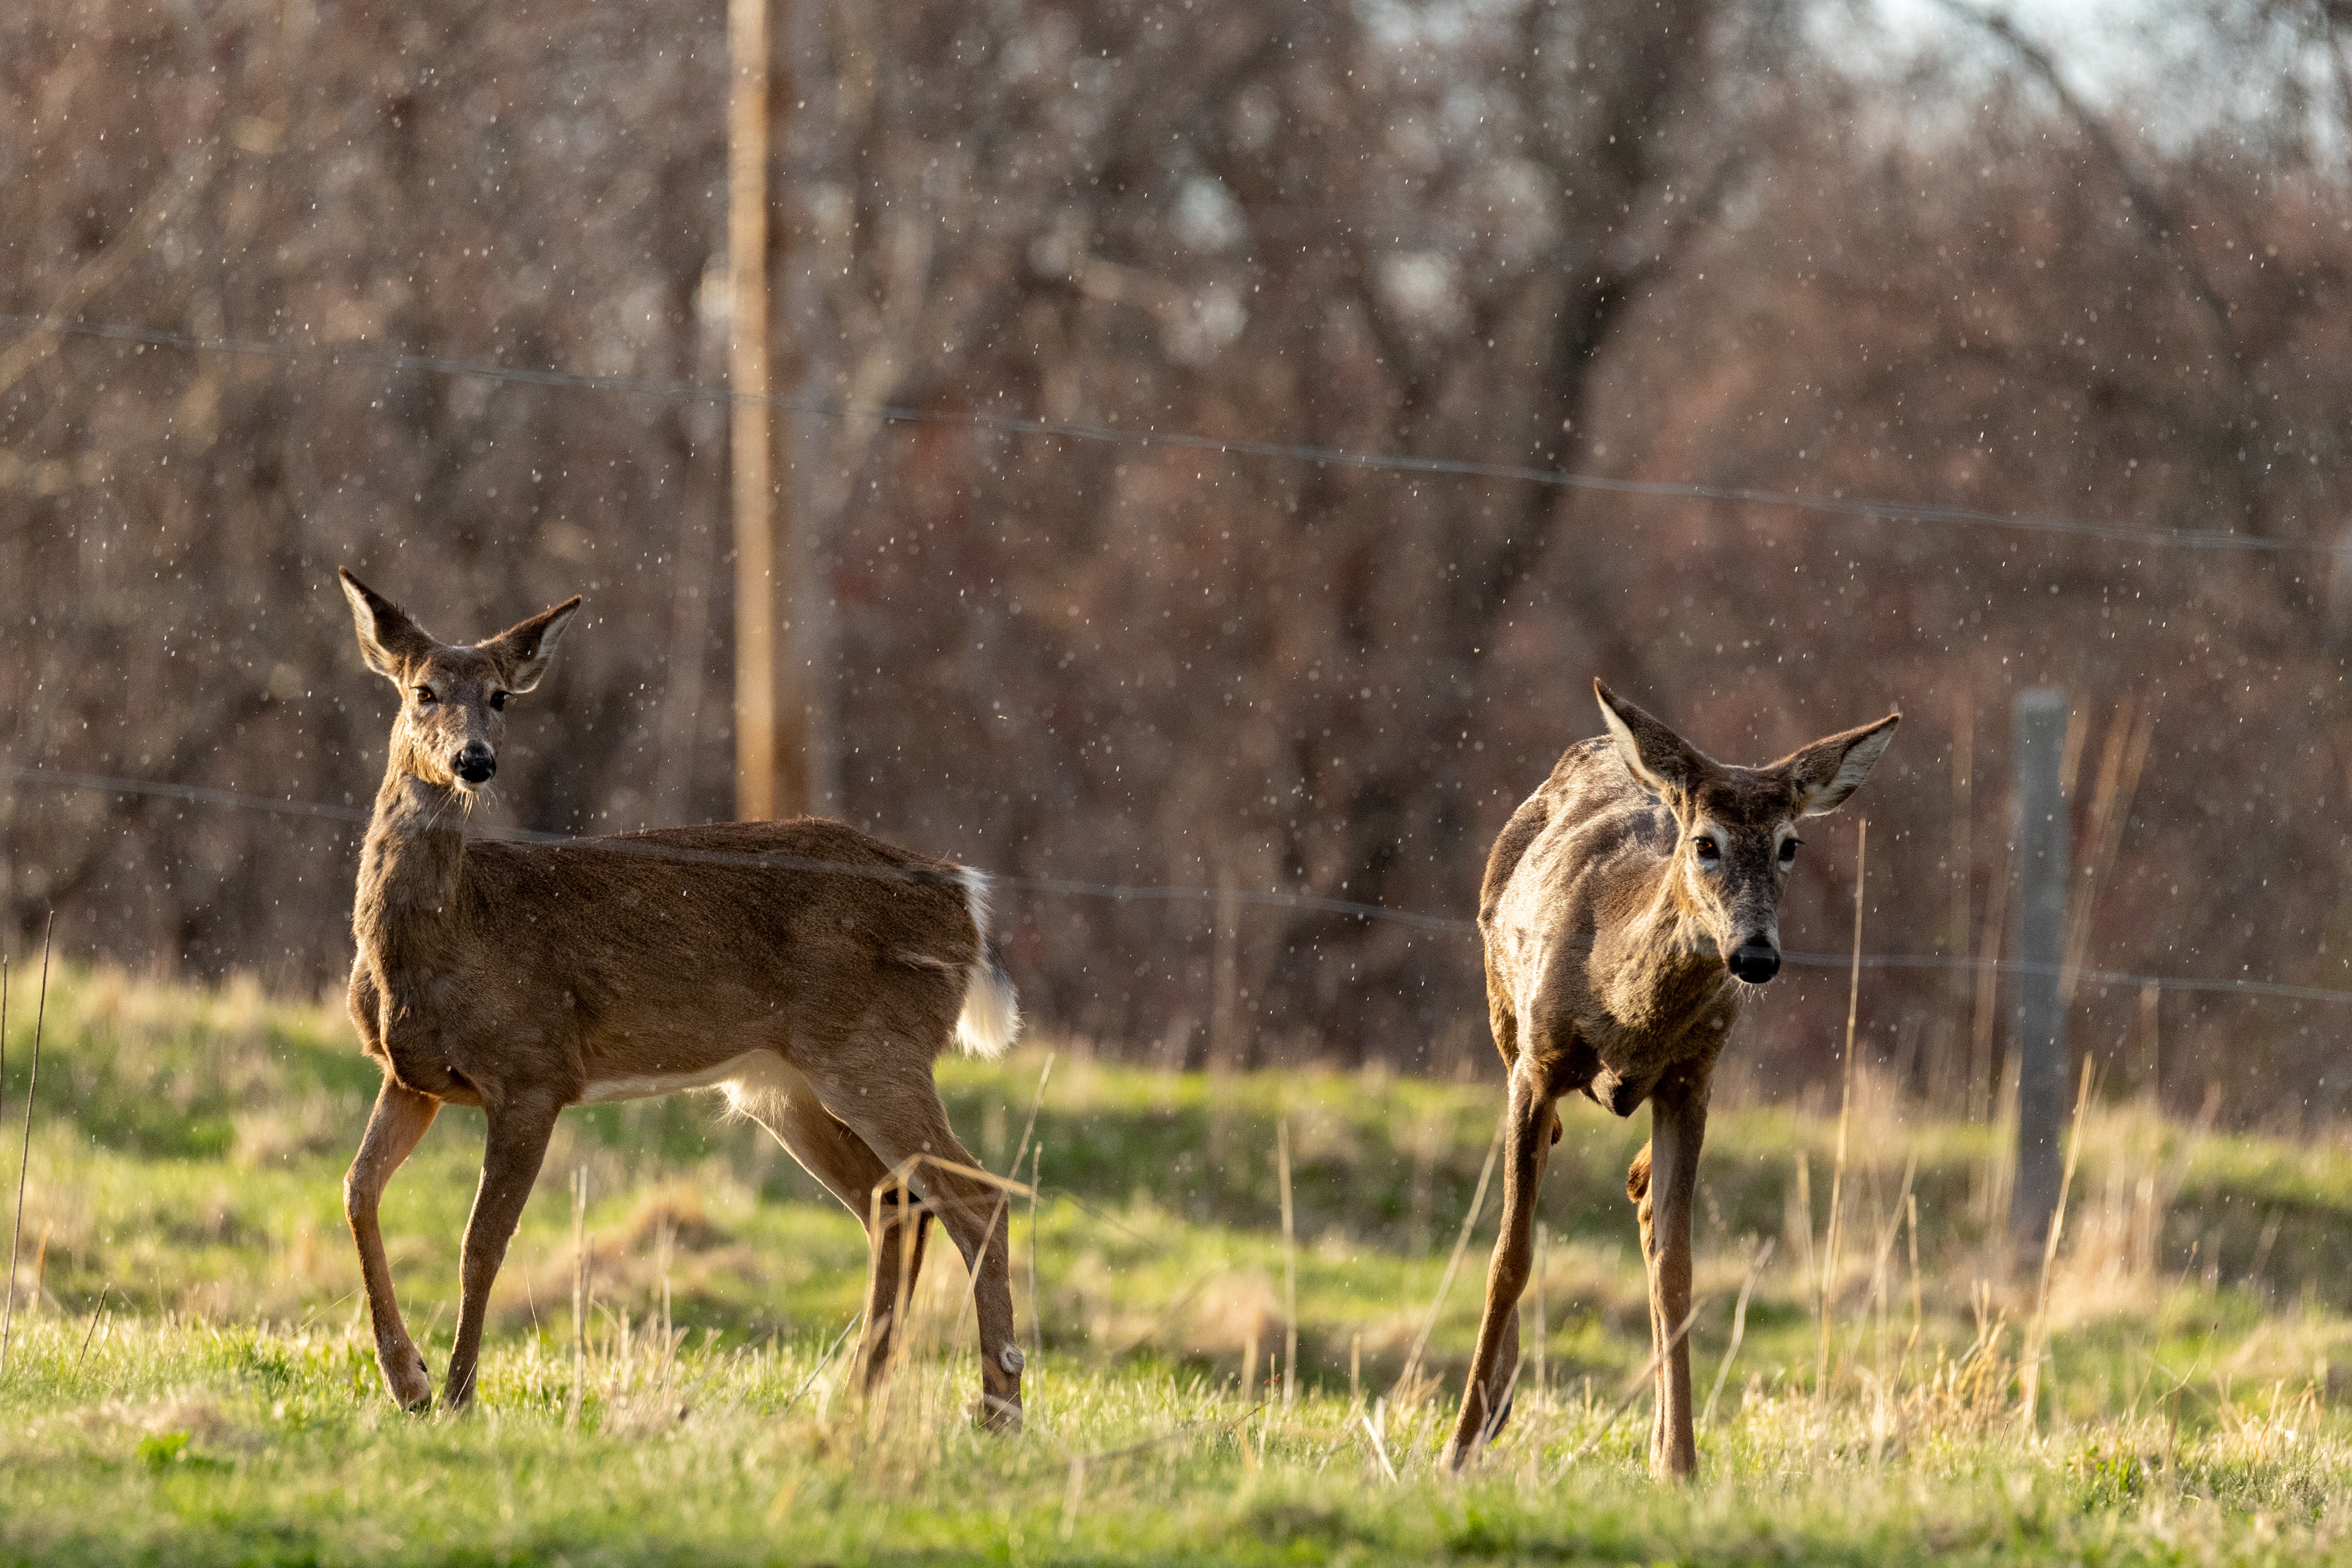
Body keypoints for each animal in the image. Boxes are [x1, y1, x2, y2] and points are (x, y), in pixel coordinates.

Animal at [333, 568, 1028, 1428]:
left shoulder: (534, 1070)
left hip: (876, 1051)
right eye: (422, 690)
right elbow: (358, 1190)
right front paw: (409, 1380)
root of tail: (966, 897)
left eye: (499, 696)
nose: (475, 761)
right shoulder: (411, 1076)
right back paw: (857, 1395)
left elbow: (481, 1242)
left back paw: (999, 1406)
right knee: (893, 1200)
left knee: (976, 1196)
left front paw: (457, 1393)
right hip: (787, 1084)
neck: (447, 936)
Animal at [1441, 680, 1897, 1479]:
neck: (1621, 1010)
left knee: (1647, 1209)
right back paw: (1494, 1402)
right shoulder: (1535, 1065)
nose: (1755, 954)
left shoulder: (1692, 1080)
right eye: (1705, 843)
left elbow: (1676, 1268)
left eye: (1790, 844)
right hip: (1501, 1018)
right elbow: (1509, 1255)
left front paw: (1680, 1461)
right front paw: (1458, 1445)